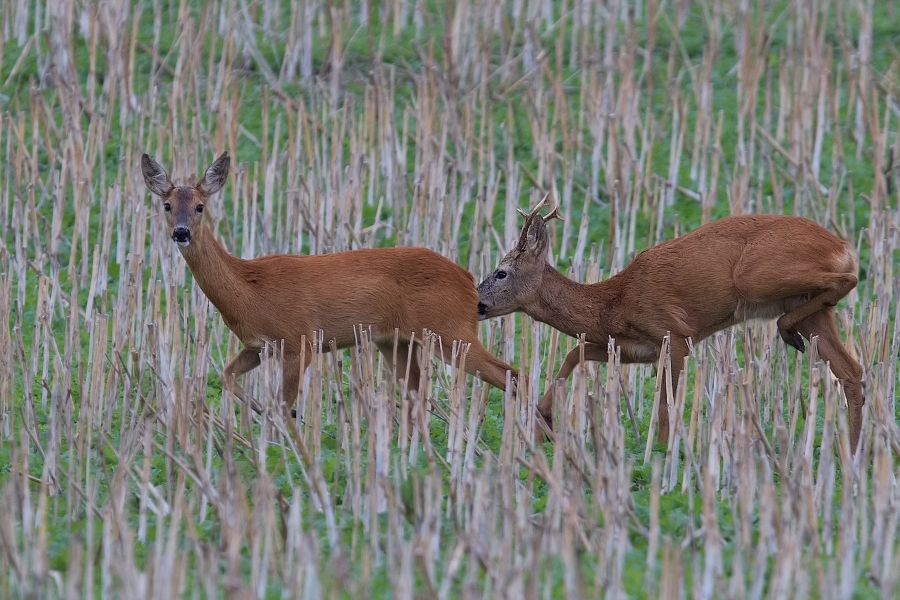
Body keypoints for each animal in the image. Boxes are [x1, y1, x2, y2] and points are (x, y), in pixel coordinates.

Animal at [144, 151, 516, 412]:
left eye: (200, 206)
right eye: (166, 205)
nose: (181, 233)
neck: (249, 289)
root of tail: (467, 277)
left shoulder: (299, 340)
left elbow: (282, 407)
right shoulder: (258, 345)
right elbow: (227, 376)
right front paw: (257, 413)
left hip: (450, 330)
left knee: (511, 375)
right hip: (396, 341)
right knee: (416, 395)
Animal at [478, 199, 864, 452]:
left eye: (501, 272)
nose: (478, 303)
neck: (613, 303)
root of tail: (842, 245)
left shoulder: (674, 334)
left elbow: (667, 403)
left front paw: (663, 452)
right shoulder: (632, 346)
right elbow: (576, 352)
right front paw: (543, 419)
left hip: (755, 276)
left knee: (849, 278)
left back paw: (787, 331)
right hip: (806, 307)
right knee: (851, 369)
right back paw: (851, 450)